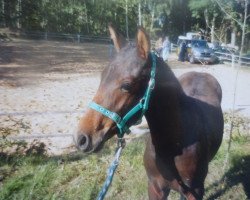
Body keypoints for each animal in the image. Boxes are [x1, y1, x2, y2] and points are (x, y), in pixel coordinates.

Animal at [73, 25, 223, 199]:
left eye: (127, 85)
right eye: (102, 76)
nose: (81, 138)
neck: (173, 144)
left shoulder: (196, 192)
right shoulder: (155, 188)